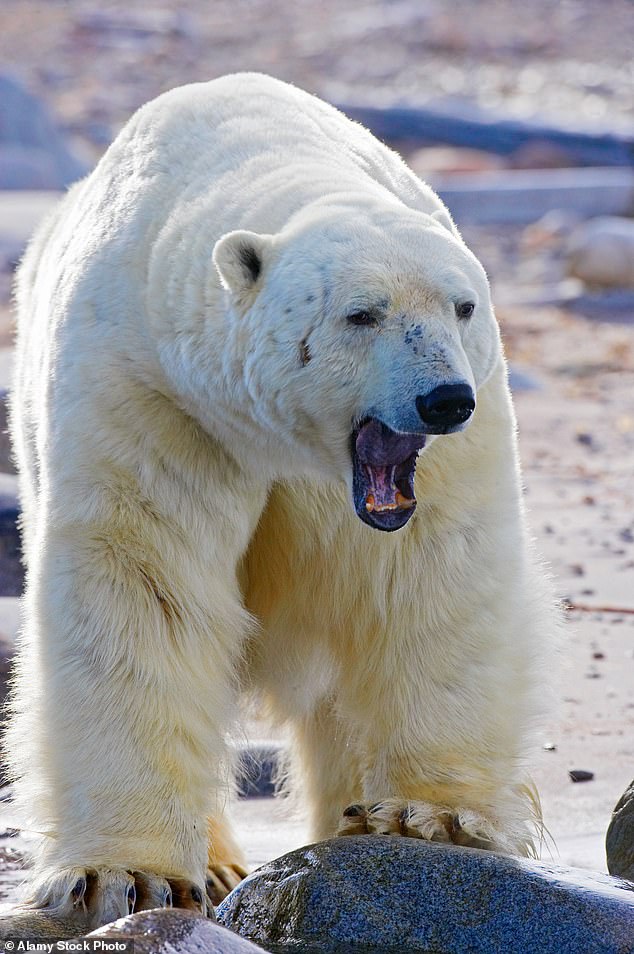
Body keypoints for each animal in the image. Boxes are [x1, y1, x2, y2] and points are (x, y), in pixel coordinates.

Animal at [5, 72, 554, 934]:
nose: (444, 399)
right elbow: (142, 589)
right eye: (362, 313)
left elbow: (431, 579)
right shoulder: (153, 397)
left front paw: (428, 815)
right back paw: (219, 860)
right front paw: (128, 874)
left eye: (462, 305)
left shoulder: (447, 451)